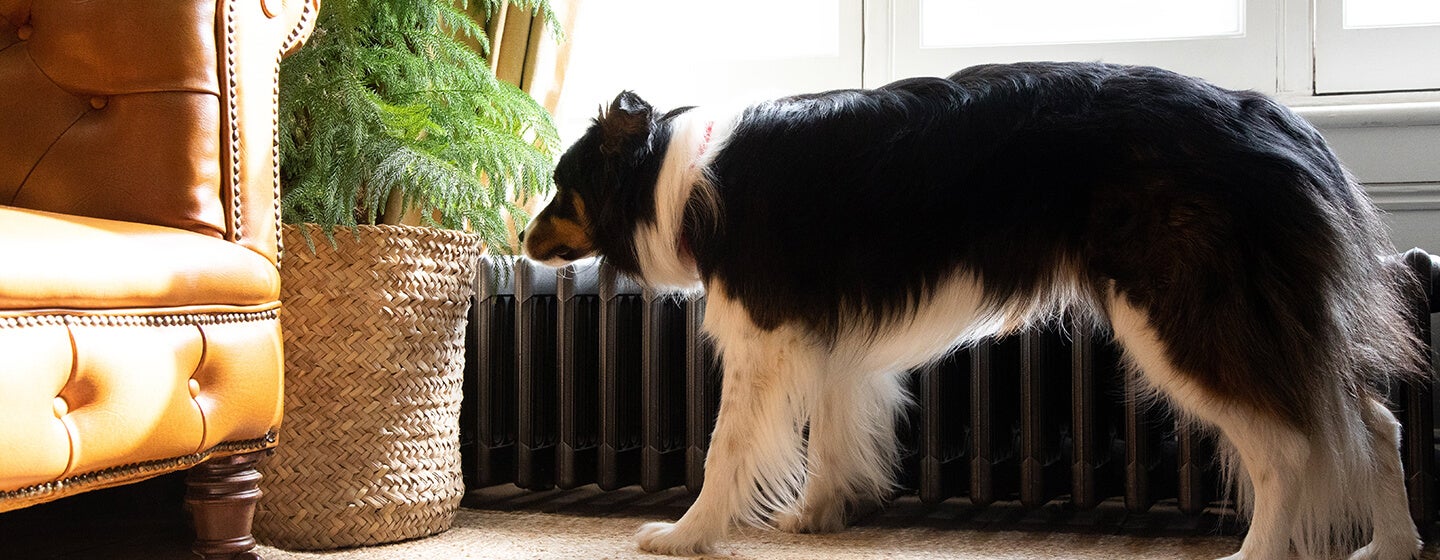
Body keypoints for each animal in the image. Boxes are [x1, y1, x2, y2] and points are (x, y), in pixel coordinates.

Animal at [521, 62, 1428, 558]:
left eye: (561, 186)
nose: (518, 235)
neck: (672, 175)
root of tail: (1277, 118)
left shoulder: (763, 334)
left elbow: (725, 448)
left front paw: (685, 534)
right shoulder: (833, 337)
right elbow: (833, 434)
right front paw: (817, 517)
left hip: (1182, 317)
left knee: (1288, 449)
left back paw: (1256, 553)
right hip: (1270, 322)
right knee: (1376, 425)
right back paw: (1392, 543)